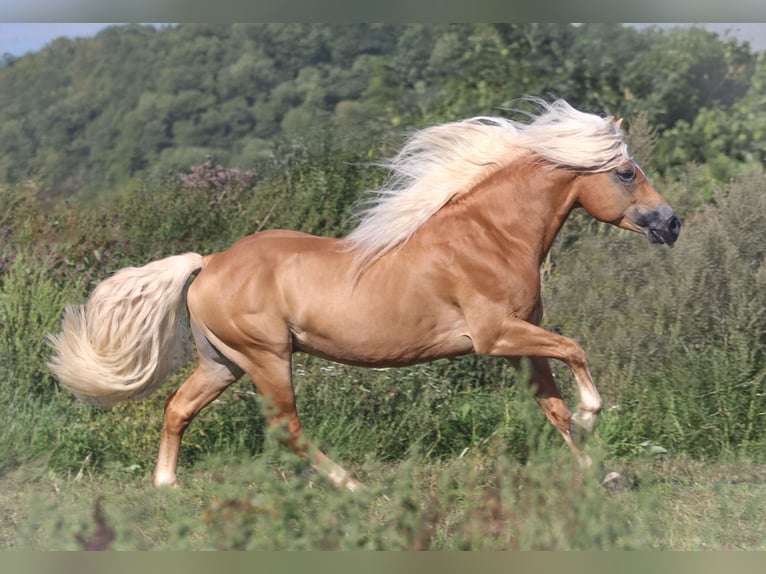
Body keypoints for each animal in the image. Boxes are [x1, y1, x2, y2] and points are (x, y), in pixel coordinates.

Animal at [47, 98, 681, 490]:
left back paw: (166, 483)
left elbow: (553, 407)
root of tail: (208, 264)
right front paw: (596, 416)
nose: (671, 224)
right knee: (286, 428)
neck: (490, 235)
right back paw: (350, 483)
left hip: (222, 362)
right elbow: (575, 352)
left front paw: (604, 475)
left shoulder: (520, 343)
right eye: (626, 172)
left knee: (178, 409)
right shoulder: (496, 336)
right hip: (267, 358)